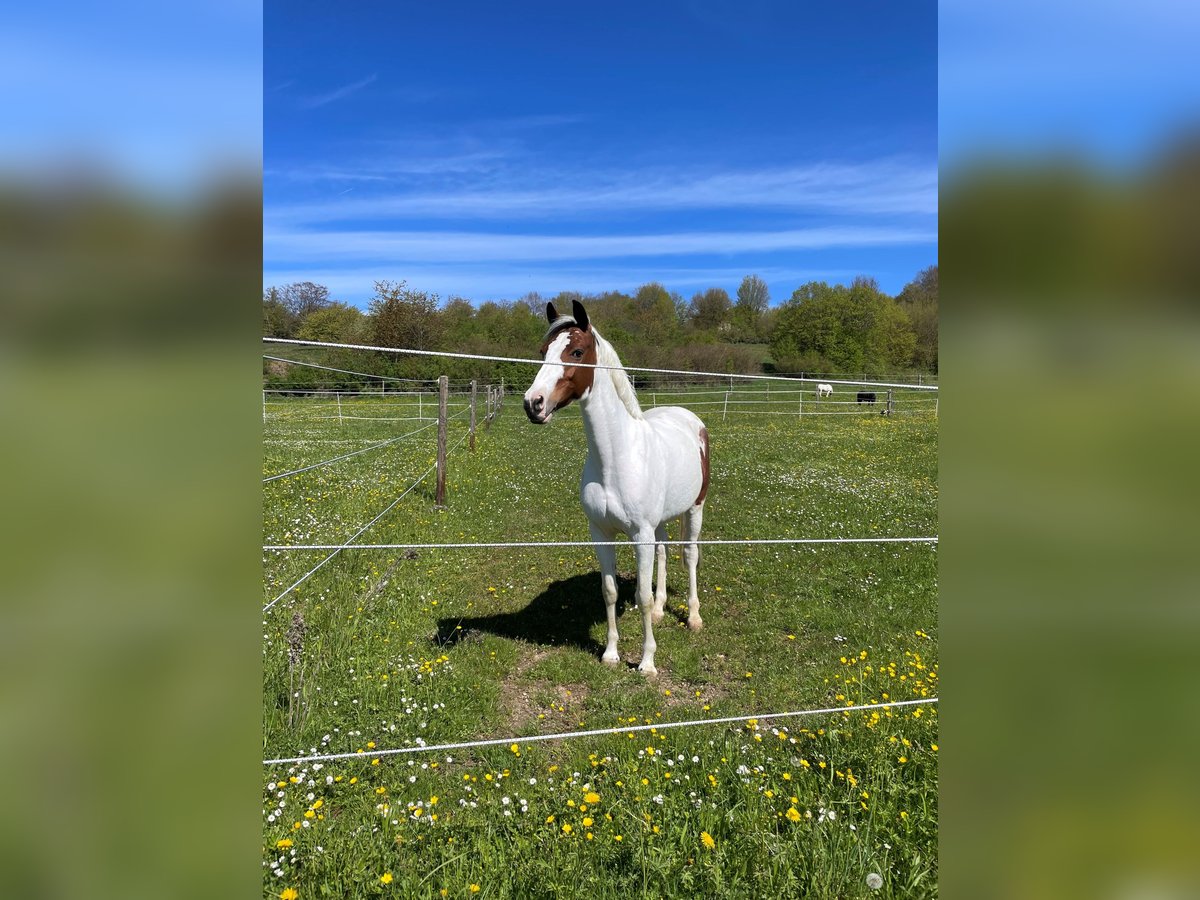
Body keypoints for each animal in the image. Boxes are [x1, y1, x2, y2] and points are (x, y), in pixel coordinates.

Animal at [523, 303, 705, 676]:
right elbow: (609, 591)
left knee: (690, 555)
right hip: (659, 525)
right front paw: (610, 654)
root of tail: (688, 417)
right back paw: (663, 610)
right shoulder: (601, 532)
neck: (616, 459)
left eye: (577, 352)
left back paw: (694, 618)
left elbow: (641, 597)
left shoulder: (640, 534)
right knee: (664, 553)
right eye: (542, 351)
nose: (533, 404)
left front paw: (647, 663)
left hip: (695, 508)